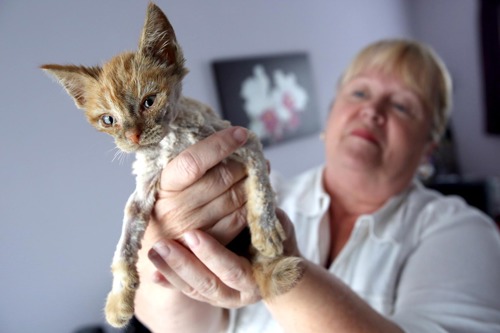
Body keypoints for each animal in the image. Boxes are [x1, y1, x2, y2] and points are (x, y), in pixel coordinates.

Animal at [41, 2, 302, 326]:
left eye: (149, 102)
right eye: (108, 120)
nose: (133, 136)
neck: (171, 143)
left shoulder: (243, 139)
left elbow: (261, 185)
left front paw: (266, 231)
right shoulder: (144, 189)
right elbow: (123, 245)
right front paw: (119, 298)